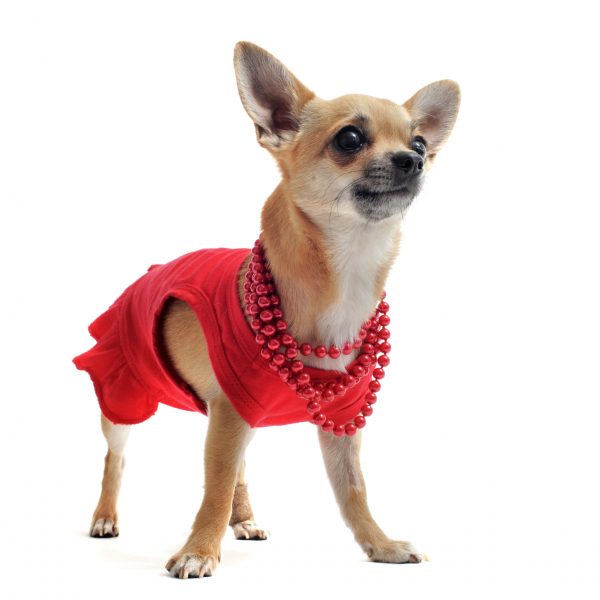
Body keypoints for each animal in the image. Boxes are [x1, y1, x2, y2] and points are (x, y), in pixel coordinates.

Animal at [75, 41, 460, 576]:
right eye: (350, 138)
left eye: (421, 143)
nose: (413, 160)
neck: (346, 273)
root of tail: (151, 269)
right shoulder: (226, 414)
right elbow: (213, 489)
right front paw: (199, 550)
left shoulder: (335, 424)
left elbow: (353, 491)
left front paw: (379, 544)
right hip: (126, 395)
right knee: (117, 458)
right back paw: (105, 515)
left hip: (240, 416)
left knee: (237, 468)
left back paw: (244, 519)